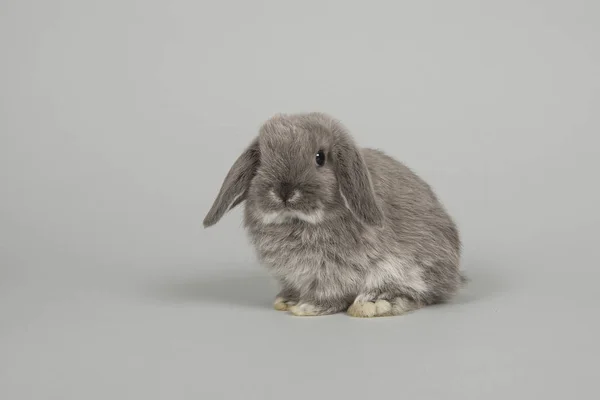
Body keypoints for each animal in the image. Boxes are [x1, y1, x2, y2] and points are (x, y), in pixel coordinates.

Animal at [203, 113, 464, 318]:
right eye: (262, 160)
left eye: (320, 157)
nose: (284, 191)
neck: (297, 221)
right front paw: (288, 300)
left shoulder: (333, 271)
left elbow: (329, 294)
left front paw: (307, 307)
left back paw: (375, 302)